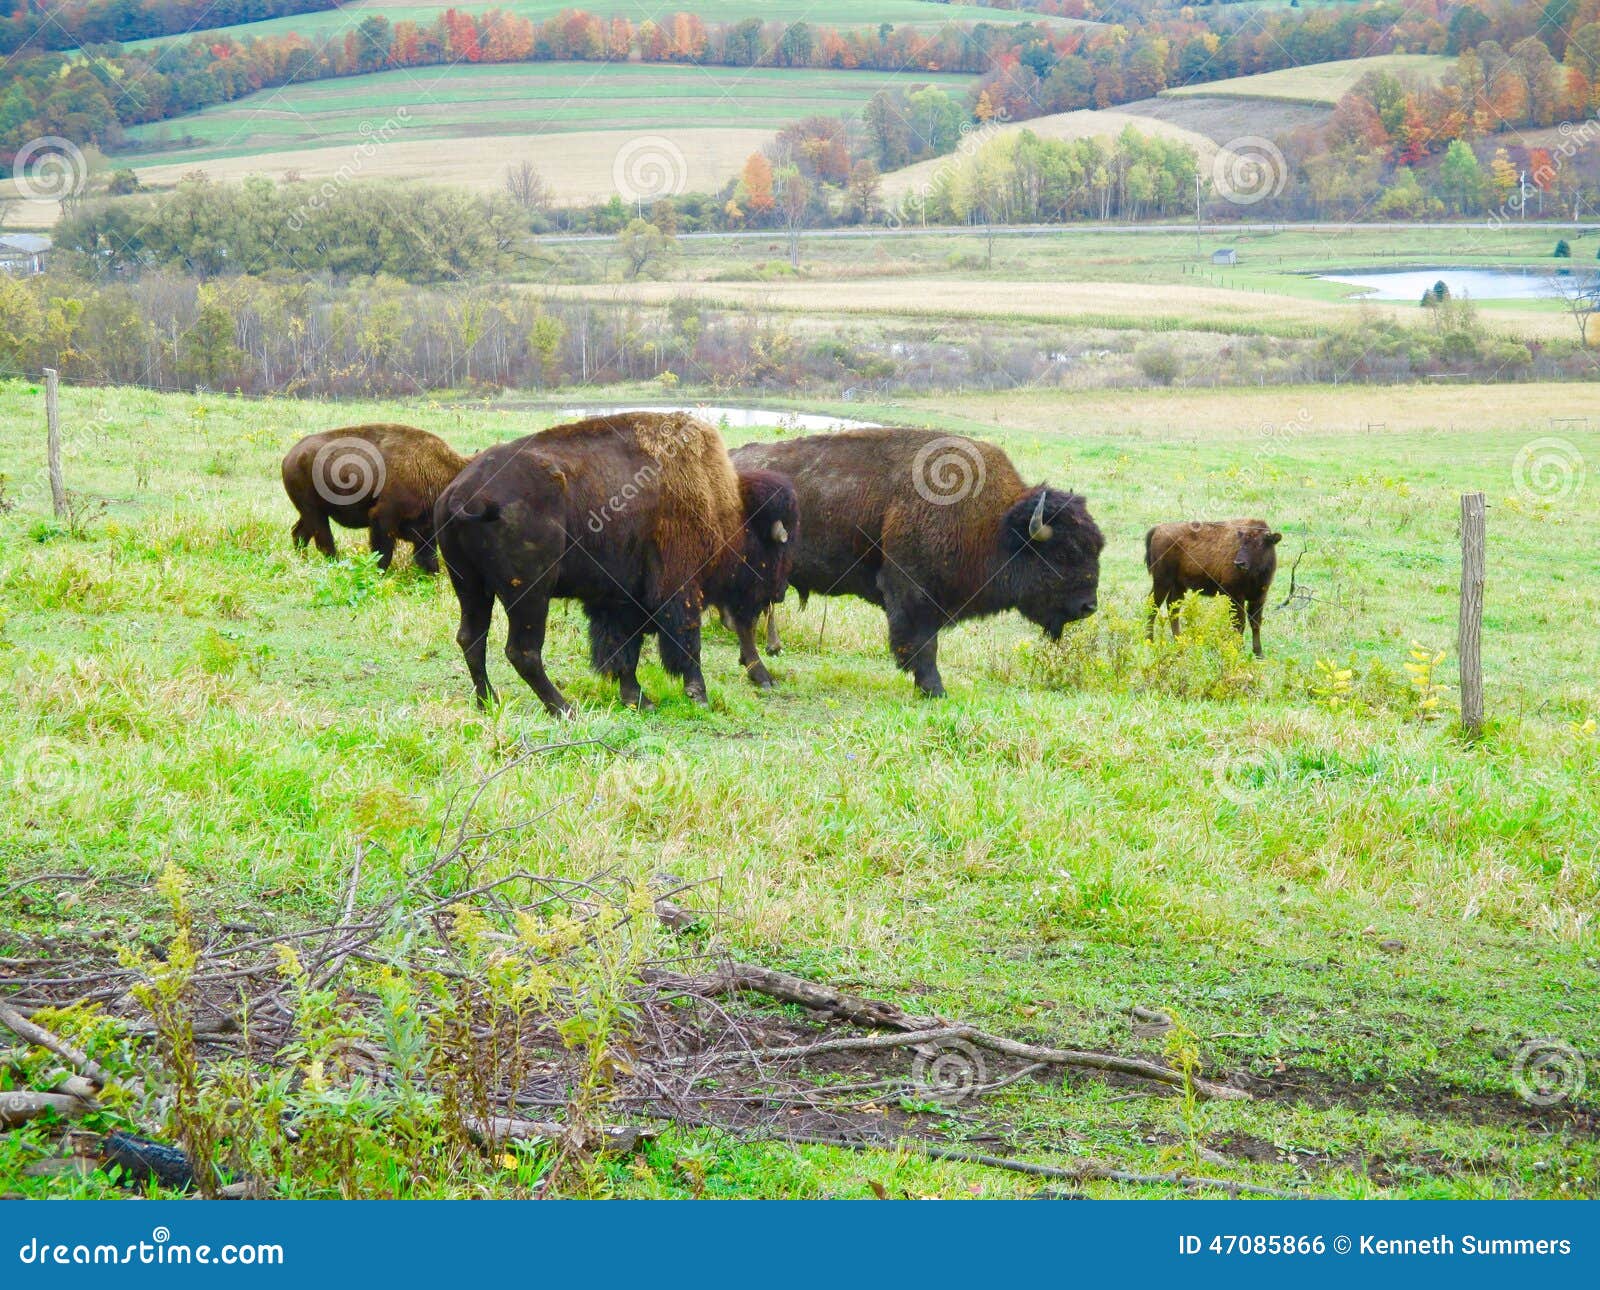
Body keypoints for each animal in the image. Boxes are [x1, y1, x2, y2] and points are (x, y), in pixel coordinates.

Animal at [282, 423, 467, 573]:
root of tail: (290, 456)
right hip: (315, 512)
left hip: (311, 513)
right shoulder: (382, 519)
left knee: (299, 533)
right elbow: (383, 554)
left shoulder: (426, 530)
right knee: (324, 542)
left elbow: (427, 557)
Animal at [434, 412, 752, 714]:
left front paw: (637, 700)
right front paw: (698, 697)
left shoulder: (618, 600)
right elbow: (686, 641)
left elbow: (623, 649)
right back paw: (564, 709)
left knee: (472, 639)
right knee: (522, 651)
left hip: (470, 585)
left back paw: (488, 702)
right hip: (529, 592)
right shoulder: (680, 585)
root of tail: (462, 493)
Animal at [732, 429, 1104, 696]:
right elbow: (924, 644)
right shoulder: (913, 595)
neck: (994, 524)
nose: (1088, 606)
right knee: (744, 622)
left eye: (1096, 548)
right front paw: (935, 689)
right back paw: (762, 677)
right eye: (1063, 553)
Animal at [1145, 519, 1281, 657]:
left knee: (1173, 609)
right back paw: (1149, 641)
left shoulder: (1259, 597)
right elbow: (1239, 623)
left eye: (1260, 544)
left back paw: (1179, 643)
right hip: (1162, 581)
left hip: (1179, 585)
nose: (1239, 563)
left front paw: (1259, 654)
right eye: (1241, 543)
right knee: (1153, 606)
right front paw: (1239, 651)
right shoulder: (1236, 596)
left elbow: (1255, 623)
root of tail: (1158, 528)